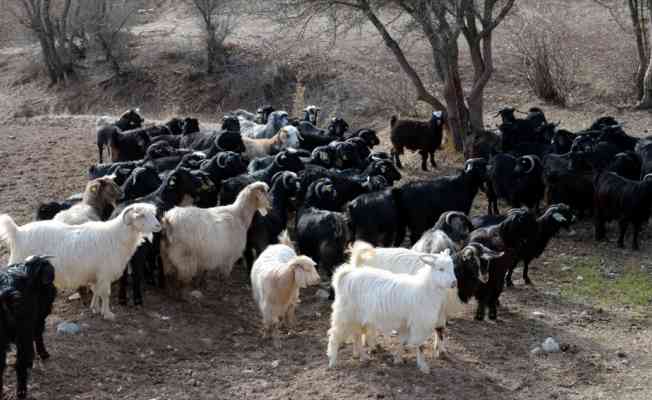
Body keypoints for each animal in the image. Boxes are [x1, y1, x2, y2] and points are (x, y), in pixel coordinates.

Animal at [0, 203, 161, 318]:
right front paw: (108, 314)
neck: (115, 236)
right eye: (141, 215)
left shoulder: (96, 275)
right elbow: (105, 294)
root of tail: (17, 232)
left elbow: (96, 292)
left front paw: (95, 308)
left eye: (153, 214)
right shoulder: (105, 274)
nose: (158, 226)